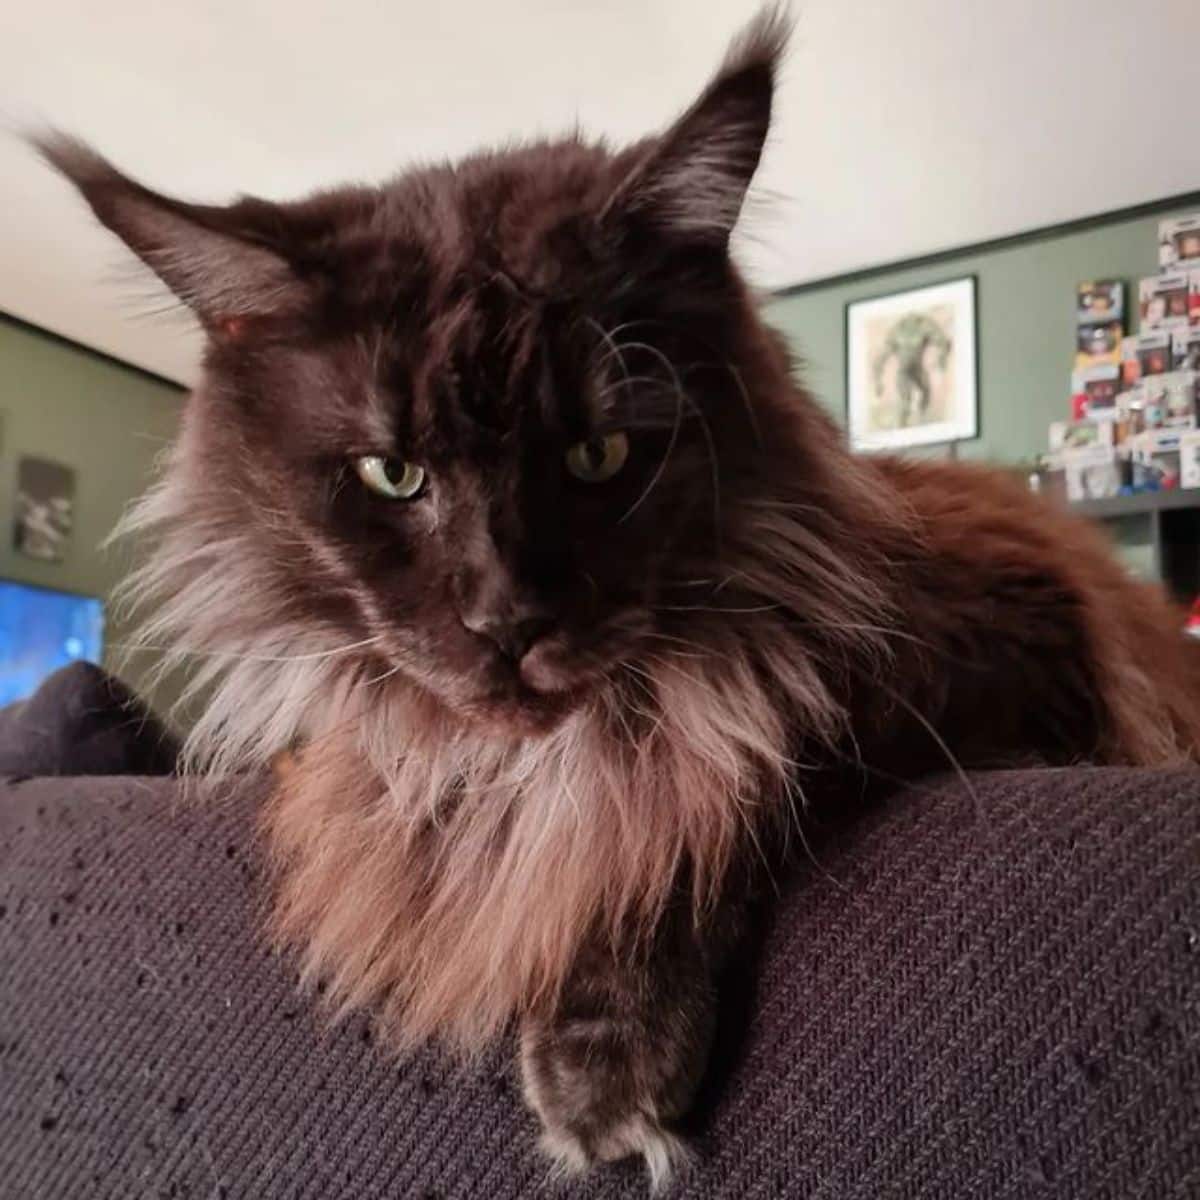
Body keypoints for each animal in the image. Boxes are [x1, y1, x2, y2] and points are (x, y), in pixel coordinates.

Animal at [37, 7, 1200, 1190]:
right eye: (392, 474)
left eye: (598, 455)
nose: (506, 621)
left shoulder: (997, 648)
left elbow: (707, 777)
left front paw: (604, 1058)